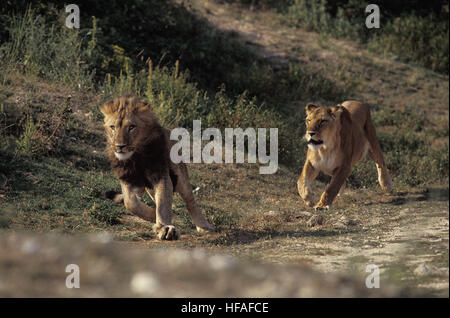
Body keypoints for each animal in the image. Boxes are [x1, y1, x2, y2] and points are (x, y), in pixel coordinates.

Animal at [101, 95, 214, 240]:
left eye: (131, 127)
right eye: (112, 127)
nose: (120, 146)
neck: (134, 158)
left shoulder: (161, 175)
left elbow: (163, 204)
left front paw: (165, 228)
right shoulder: (126, 179)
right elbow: (130, 203)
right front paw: (153, 217)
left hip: (180, 177)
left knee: (190, 201)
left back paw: (203, 226)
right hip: (149, 188)